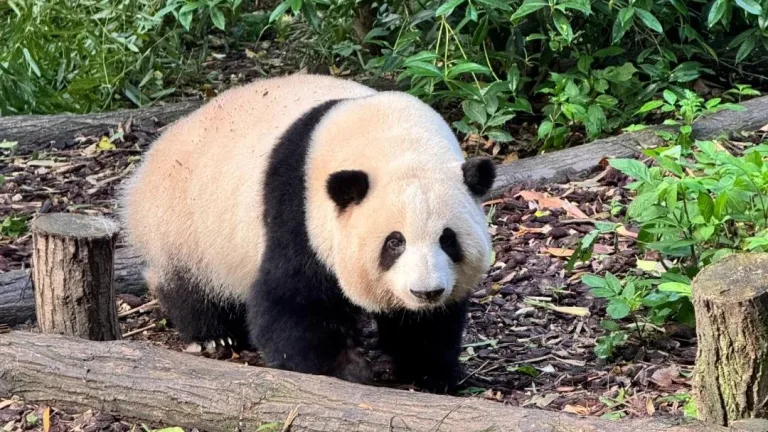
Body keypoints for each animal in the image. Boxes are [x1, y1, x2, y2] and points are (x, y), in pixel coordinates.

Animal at [118, 73, 496, 393]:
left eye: (448, 239)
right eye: (394, 242)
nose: (426, 292)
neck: (392, 139)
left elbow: (428, 324)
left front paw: (430, 370)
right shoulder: (297, 208)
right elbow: (292, 300)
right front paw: (344, 370)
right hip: (185, 221)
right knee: (187, 282)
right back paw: (215, 336)